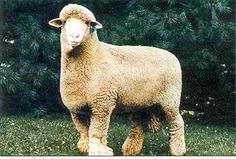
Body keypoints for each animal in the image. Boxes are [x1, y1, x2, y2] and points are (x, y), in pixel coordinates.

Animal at [48, 3, 187, 156]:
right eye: (64, 22)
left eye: (87, 23)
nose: (74, 36)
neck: (95, 57)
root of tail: (171, 54)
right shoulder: (76, 108)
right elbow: (83, 130)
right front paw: (85, 146)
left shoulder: (102, 104)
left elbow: (97, 130)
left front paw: (99, 150)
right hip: (139, 102)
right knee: (137, 125)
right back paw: (131, 149)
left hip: (170, 99)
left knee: (176, 122)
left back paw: (178, 149)